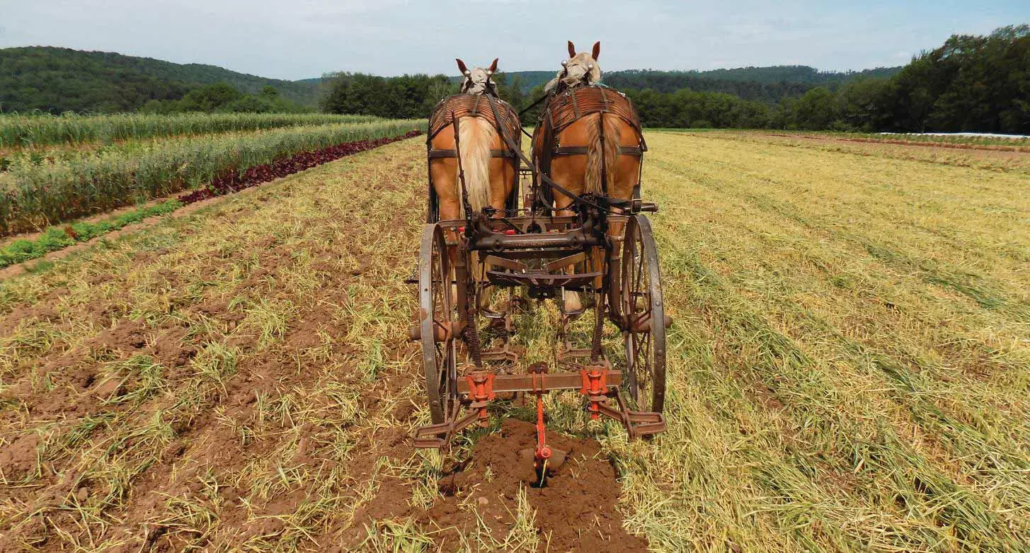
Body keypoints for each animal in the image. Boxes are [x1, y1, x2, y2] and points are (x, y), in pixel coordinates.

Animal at [531, 40, 642, 313]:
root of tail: (600, 116)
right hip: (620, 192)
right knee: (614, 233)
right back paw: (606, 289)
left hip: (564, 191)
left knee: (568, 227)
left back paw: (571, 298)